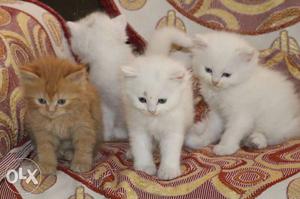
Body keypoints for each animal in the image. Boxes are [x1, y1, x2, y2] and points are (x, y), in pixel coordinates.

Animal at [122, 27, 195, 180]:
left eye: (162, 101)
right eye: (142, 99)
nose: (151, 110)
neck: (154, 121)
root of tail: (158, 56)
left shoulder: (173, 129)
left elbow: (171, 151)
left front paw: (168, 171)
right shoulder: (138, 128)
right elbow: (141, 147)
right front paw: (144, 167)